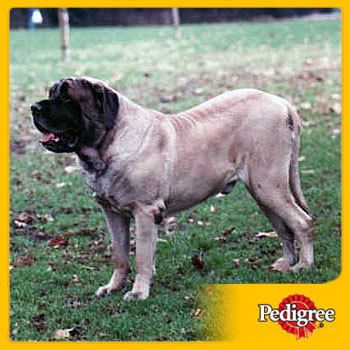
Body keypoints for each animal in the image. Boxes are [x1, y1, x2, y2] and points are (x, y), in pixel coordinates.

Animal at [31, 78, 314, 300]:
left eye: (67, 98)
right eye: (51, 93)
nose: (34, 108)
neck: (107, 147)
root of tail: (283, 103)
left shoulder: (145, 211)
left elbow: (141, 255)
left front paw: (138, 291)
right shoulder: (112, 213)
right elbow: (120, 255)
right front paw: (113, 287)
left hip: (269, 186)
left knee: (302, 222)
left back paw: (304, 265)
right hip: (262, 191)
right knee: (284, 228)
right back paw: (286, 263)